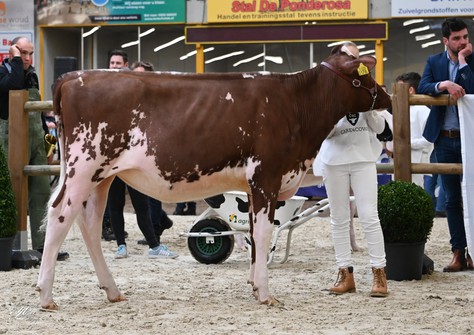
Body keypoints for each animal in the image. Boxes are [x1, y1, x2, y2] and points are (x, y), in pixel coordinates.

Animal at [37, 44, 390, 310]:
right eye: (364, 72)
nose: (386, 98)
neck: (297, 104)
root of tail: (74, 76)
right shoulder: (266, 175)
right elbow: (263, 234)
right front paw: (266, 293)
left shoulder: (254, 185)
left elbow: (252, 234)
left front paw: (253, 283)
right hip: (83, 166)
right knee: (59, 215)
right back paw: (45, 295)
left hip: (103, 176)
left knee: (89, 224)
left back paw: (112, 290)